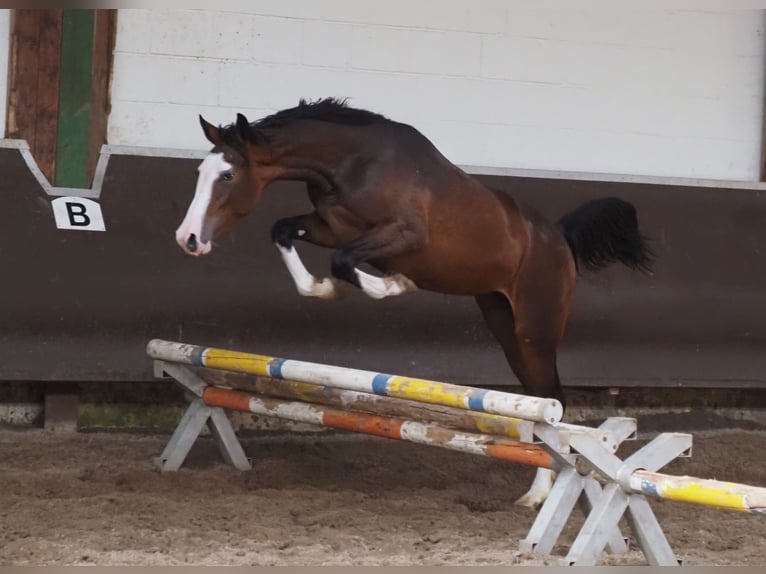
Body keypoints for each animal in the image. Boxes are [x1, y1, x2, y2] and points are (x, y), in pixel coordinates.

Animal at [176, 98, 656, 508]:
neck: (352, 164)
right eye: (201, 170)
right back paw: (537, 490)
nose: (189, 239)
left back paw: (538, 494)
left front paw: (396, 285)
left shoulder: (402, 235)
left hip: (535, 328)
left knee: (551, 401)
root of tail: (558, 237)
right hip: (503, 323)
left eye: (227, 176)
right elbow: (285, 233)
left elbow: (344, 261)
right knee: (537, 401)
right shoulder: (330, 226)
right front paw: (323, 289)